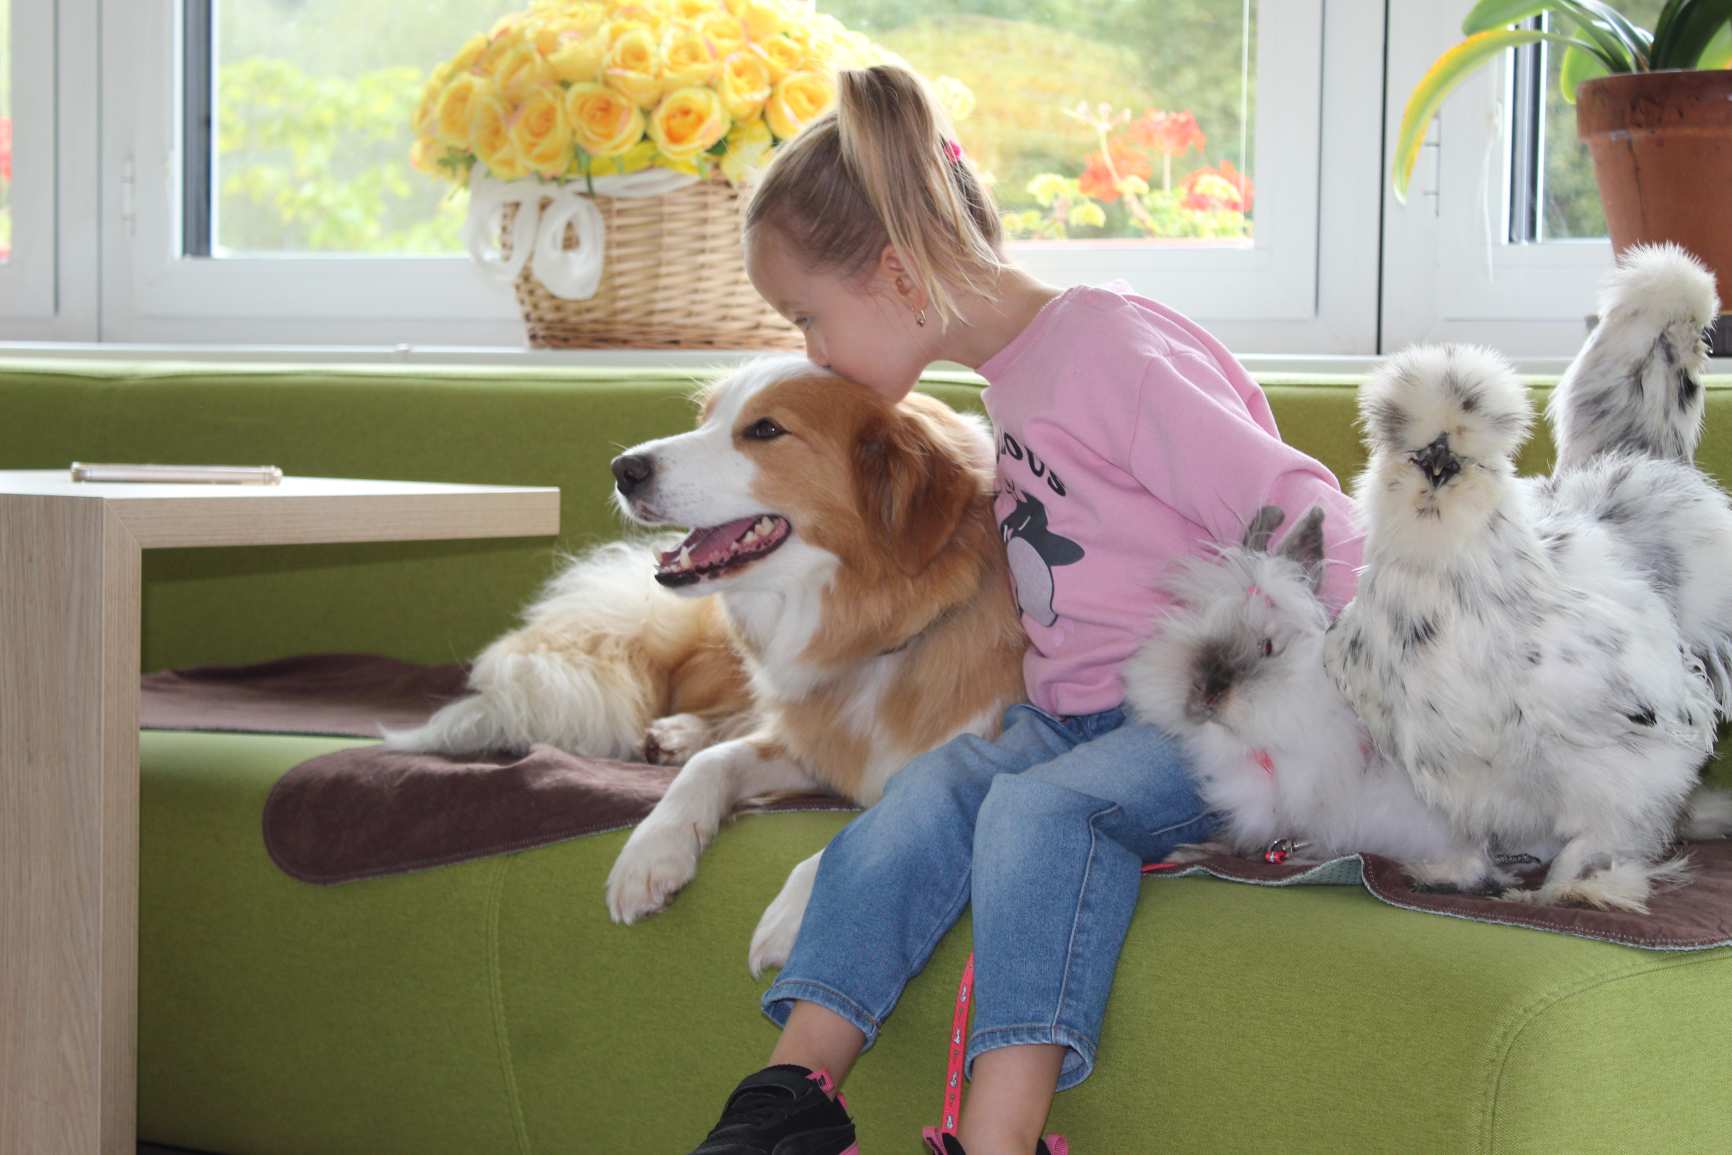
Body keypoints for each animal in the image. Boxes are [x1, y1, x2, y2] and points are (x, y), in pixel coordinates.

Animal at [387, 355, 1027, 971]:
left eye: (765, 429)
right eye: (706, 418)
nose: (623, 469)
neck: (882, 636)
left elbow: (887, 819)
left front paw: (801, 910)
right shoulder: (804, 741)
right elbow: (715, 762)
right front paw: (652, 849)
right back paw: (676, 735)